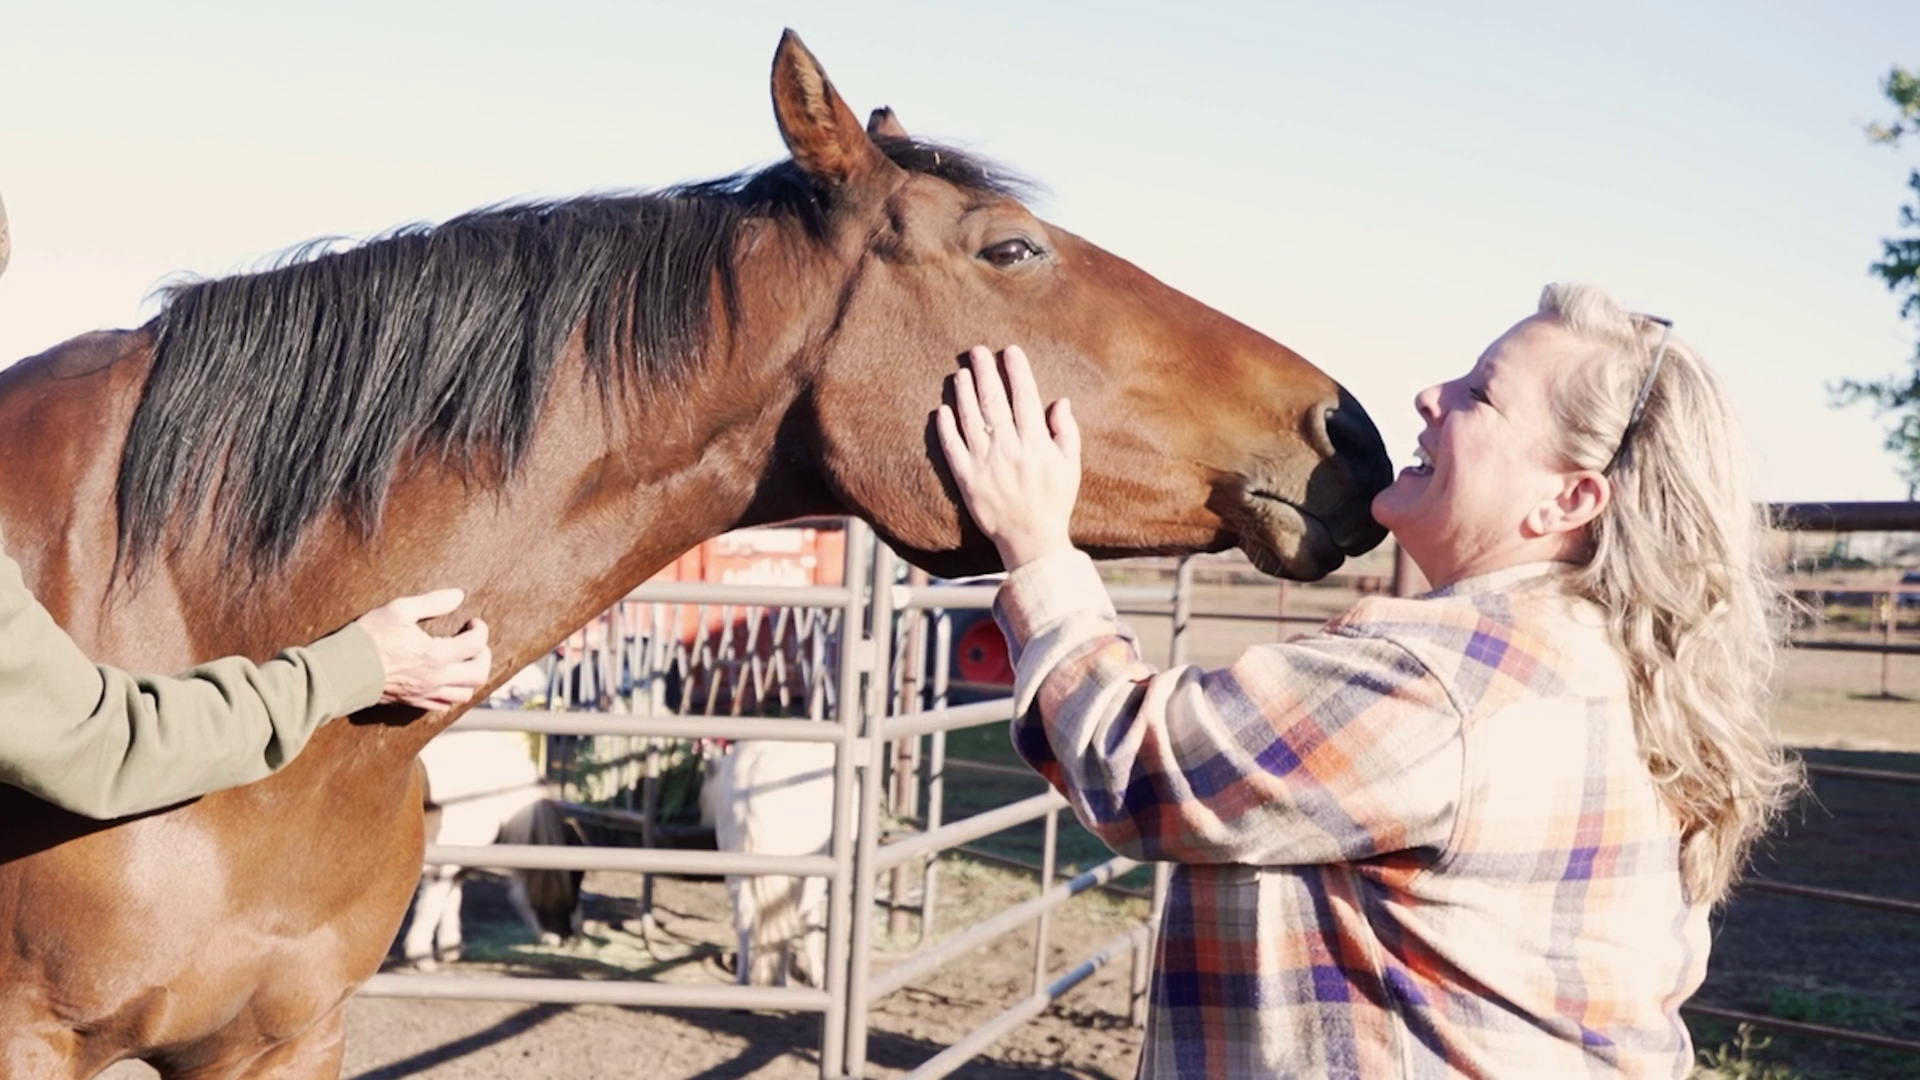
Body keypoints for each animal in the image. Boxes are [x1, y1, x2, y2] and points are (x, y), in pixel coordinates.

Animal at [400, 730, 583, 969]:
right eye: (574, 878)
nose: (568, 937)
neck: (489, 791)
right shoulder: (445, 866)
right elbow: (432, 906)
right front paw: (422, 956)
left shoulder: (458, 862)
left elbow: (451, 901)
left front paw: (450, 949)